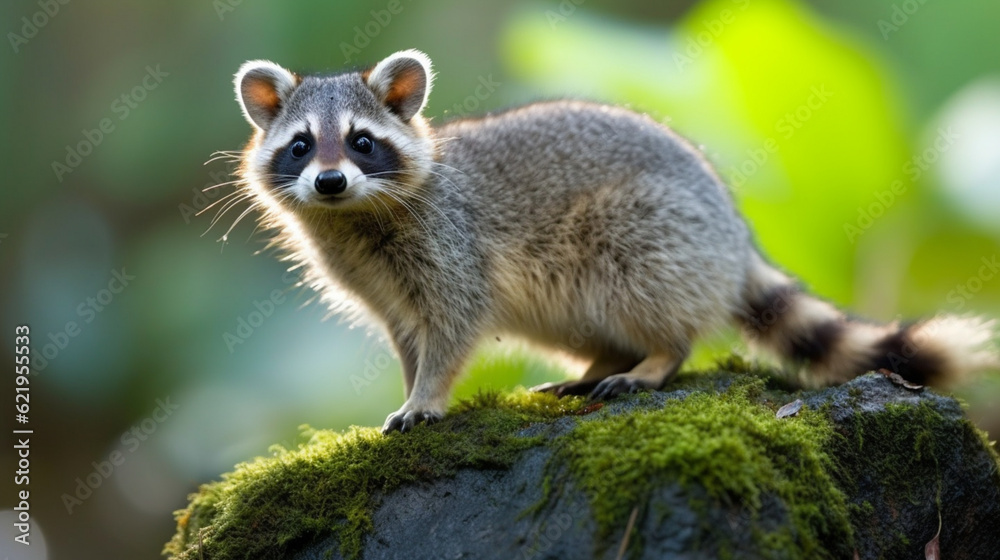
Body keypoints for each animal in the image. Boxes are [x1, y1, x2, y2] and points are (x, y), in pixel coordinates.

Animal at [229, 49, 998, 433]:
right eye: (301, 146)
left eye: (362, 142)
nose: (330, 181)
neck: (352, 217)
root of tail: (732, 232)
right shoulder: (377, 279)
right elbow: (409, 336)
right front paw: (410, 381)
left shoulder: (450, 244)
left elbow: (454, 326)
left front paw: (427, 394)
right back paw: (601, 359)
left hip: (651, 229)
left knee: (644, 287)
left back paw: (655, 355)